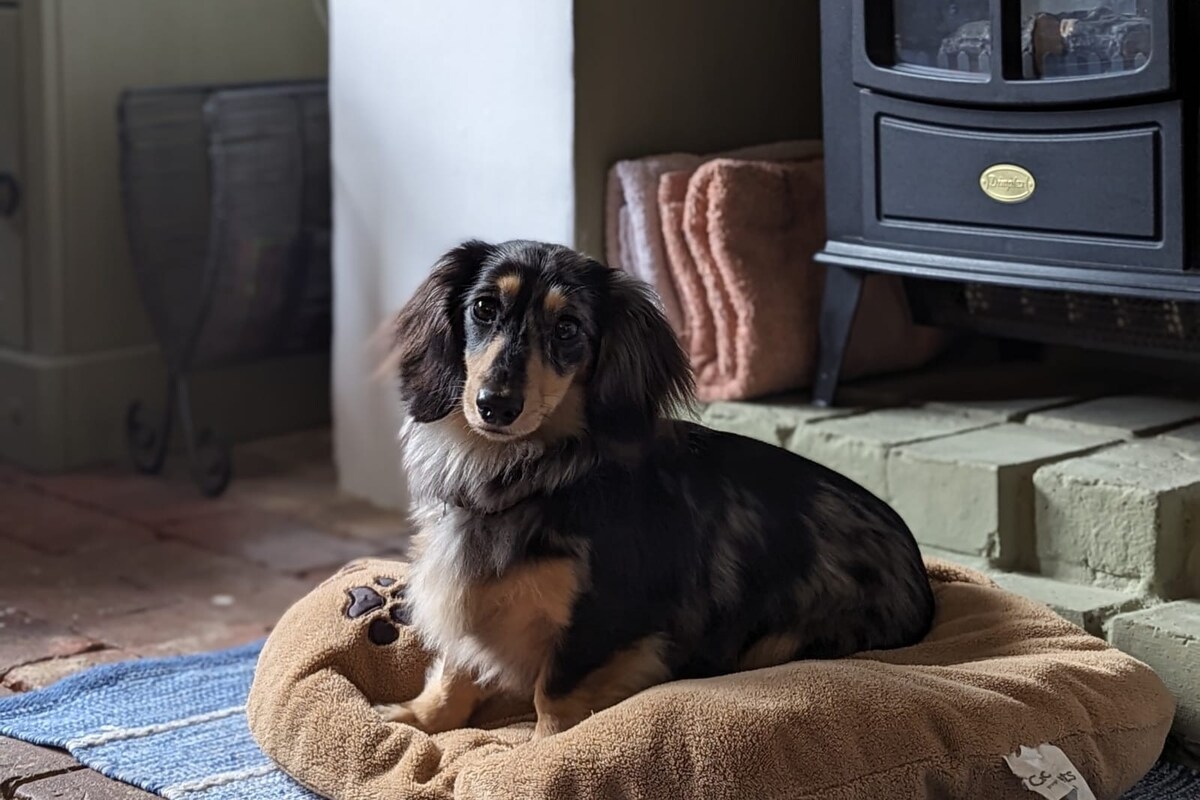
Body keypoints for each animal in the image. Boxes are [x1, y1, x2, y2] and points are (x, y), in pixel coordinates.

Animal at [379, 239, 935, 739]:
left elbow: (552, 697)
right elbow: (455, 671)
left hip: (779, 641)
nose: (495, 405)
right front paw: (417, 719)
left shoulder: (603, 621)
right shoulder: (462, 589)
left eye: (567, 328)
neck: (525, 475)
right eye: (484, 308)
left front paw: (541, 756)